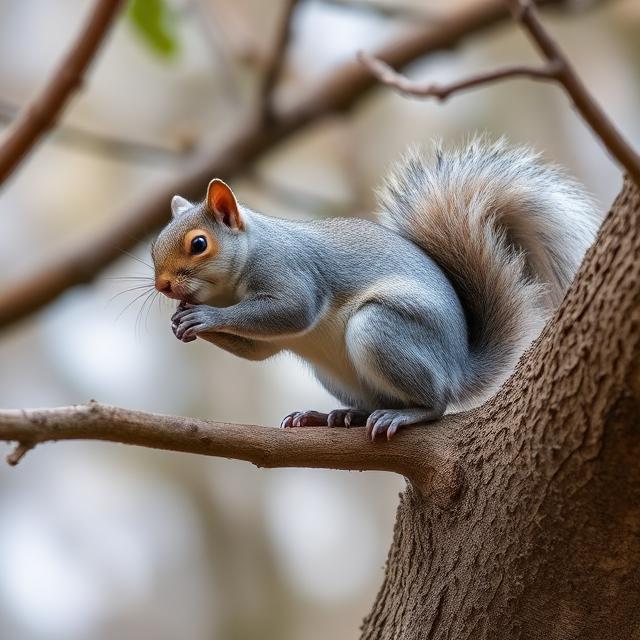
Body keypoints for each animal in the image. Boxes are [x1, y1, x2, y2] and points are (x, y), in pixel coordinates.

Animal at [151, 138, 598, 440]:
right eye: (155, 246)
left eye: (199, 243)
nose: (164, 286)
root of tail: (456, 369)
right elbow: (257, 351)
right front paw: (181, 322)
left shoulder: (290, 272)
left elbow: (293, 311)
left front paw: (204, 316)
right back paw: (336, 416)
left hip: (381, 330)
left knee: (435, 404)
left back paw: (403, 415)